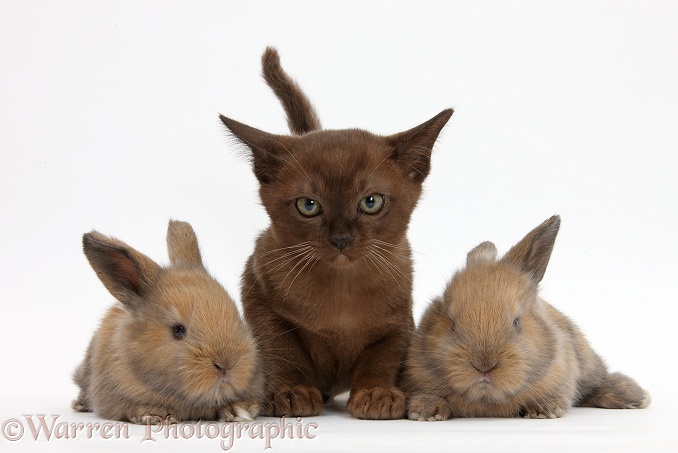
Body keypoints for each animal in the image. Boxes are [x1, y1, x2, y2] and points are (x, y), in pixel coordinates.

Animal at [220, 47, 454, 418]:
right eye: (308, 205)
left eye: (371, 202)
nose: (341, 239)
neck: (342, 291)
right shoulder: (259, 295)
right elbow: (284, 351)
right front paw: (292, 392)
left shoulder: (398, 322)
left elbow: (381, 357)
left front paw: (376, 394)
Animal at [406, 215, 652, 420]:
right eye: (451, 323)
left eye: (517, 323)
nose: (484, 366)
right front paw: (426, 411)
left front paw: (545, 409)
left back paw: (635, 396)